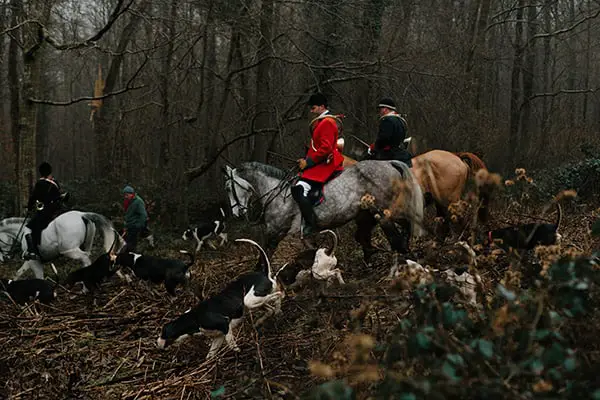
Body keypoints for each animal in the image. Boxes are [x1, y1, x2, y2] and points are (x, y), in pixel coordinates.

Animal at [223, 161, 424, 260]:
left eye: (228, 188)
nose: (236, 214)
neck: (276, 194)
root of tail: (389, 163)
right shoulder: (304, 238)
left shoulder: (275, 234)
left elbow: (263, 260)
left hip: (384, 209)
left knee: (399, 227)